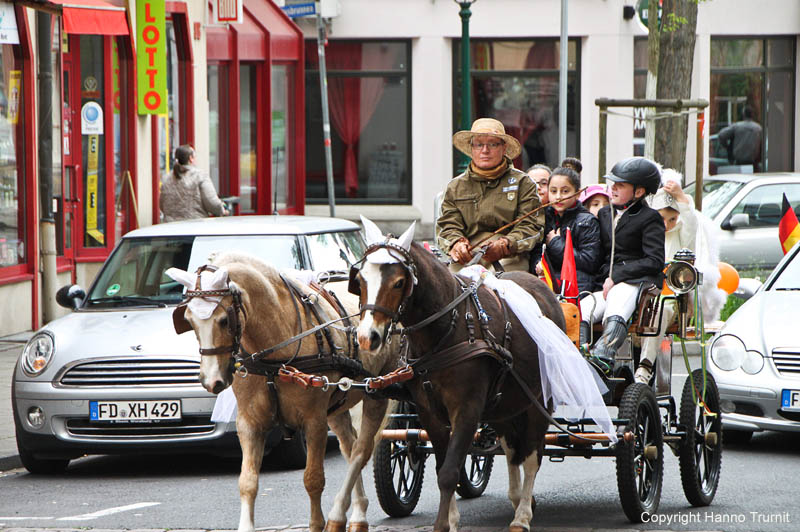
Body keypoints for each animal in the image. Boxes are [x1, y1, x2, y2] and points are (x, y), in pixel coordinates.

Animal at [167, 252, 400, 532]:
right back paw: (354, 513)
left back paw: (346, 515)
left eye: (223, 320)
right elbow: (247, 482)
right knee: (349, 446)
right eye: (189, 320)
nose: (211, 380)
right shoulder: (249, 423)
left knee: (361, 452)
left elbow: (313, 479)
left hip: (378, 392)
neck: (274, 357)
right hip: (336, 407)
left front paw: (317, 524)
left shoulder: (314, 421)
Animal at [354, 217, 564, 532]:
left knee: (531, 455)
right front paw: (451, 519)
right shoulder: (429, 412)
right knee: (512, 449)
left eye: (399, 282)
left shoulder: (466, 409)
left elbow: (450, 471)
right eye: (360, 279)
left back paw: (522, 515)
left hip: (539, 400)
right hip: (504, 403)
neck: (445, 329)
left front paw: (444, 523)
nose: (368, 337)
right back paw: (517, 499)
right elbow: (443, 464)